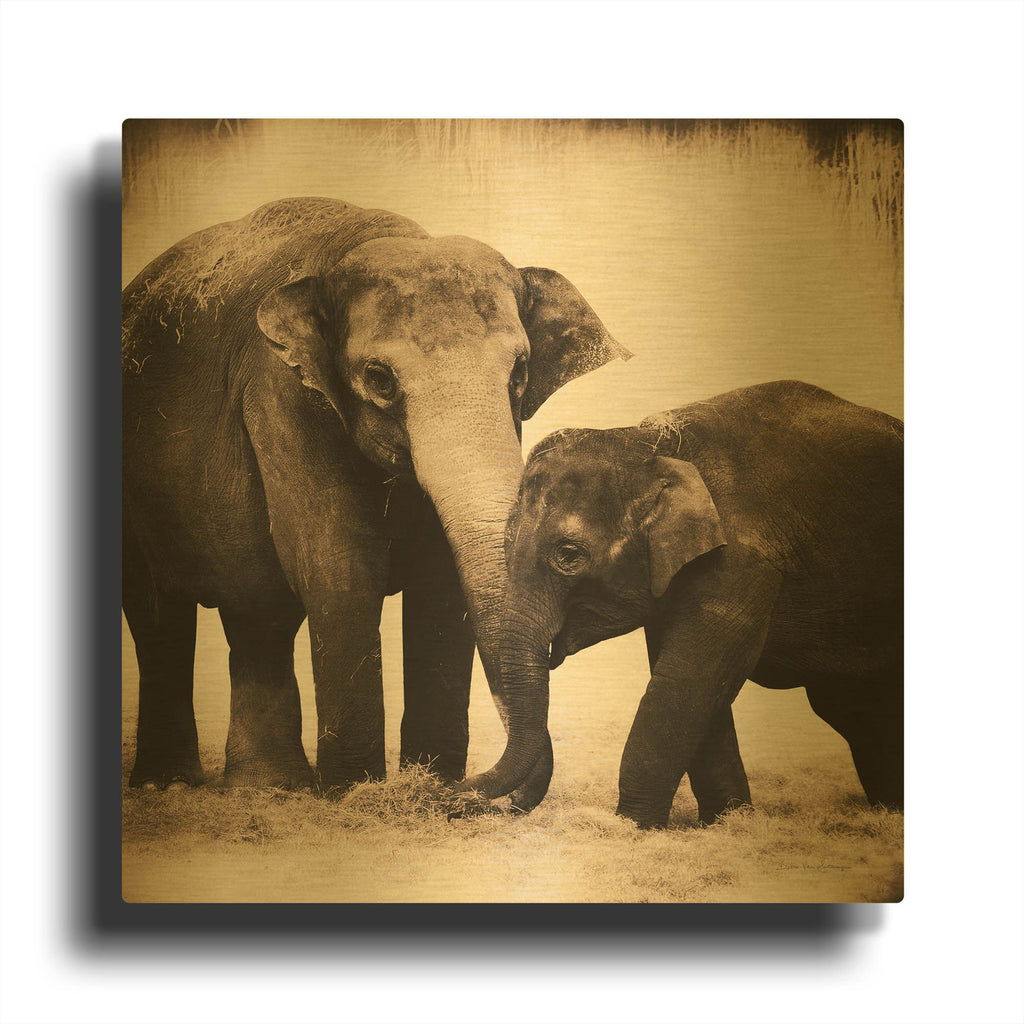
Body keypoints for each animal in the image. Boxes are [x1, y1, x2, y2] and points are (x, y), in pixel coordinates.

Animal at [122, 196, 630, 798]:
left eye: (520, 372)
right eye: (379, 378)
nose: (470, 790)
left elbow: (442, 580)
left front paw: (427, 784)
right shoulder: (283, 394)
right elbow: (338, 567)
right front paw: (353, 795)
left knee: (256, 614)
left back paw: (268, 789)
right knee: (159, 616)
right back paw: (169, 786)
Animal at [461, 380, 903, 828]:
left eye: (569, 555)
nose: (458, 796)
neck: (654, 445)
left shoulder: (741, 559)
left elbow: (686, 680)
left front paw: (633, 825)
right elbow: (693, 683)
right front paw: (724, 823)